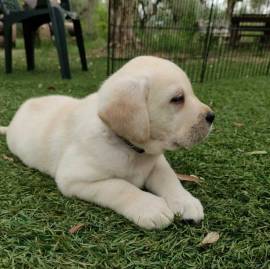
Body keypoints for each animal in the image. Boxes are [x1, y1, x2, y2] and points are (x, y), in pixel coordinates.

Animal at [0, 56, 215, 228]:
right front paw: (150, 206)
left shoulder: (157, 162)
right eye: (177, 98)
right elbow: (120, 186)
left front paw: (186, 202)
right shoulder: (74, 178)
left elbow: (169, 178)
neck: (131, 148)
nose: (212, 116)